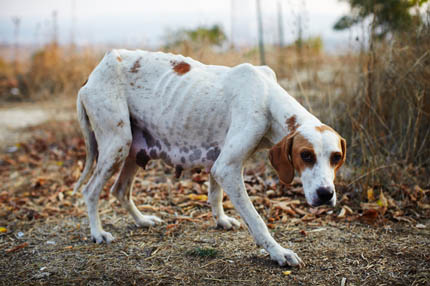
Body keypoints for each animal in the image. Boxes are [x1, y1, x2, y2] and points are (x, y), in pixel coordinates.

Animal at [73, 49, 346, 268]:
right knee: (90, 191)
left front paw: (221, 221)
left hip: (132, 149)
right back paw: (98, 233)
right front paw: (278, 253)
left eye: (336, 157)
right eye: (306, 155)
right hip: (117, 144)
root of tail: (95, 72)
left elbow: (215, 195)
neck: (267, 97)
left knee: (120, 190)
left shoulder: (220, 161)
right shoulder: (227, 167)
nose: (325, 194)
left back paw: (142, 220)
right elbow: (257, 221)